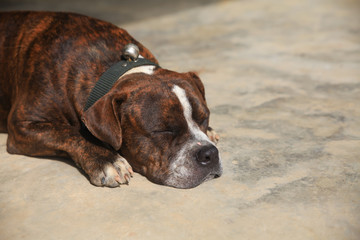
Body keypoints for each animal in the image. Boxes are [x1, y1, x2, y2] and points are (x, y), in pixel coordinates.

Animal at [0, 11, 222, 188]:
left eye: (204, 118)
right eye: (163, 131)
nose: (209, 154)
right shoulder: (23, 125)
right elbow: (68, 133)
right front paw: (107, 160)